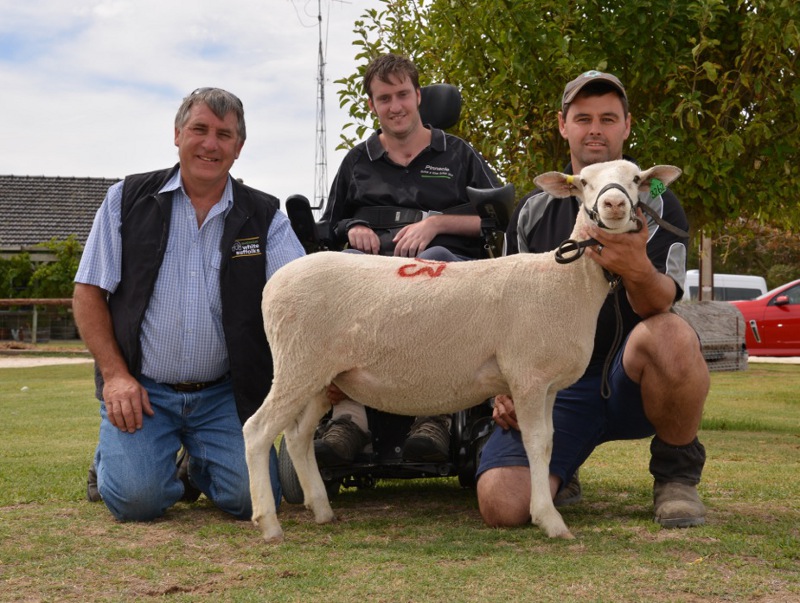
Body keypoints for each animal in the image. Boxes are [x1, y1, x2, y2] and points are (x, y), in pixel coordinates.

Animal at [242, 159, 680, 544]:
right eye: (584, 182)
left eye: (636, 178)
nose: (614, 204)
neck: (565, 279)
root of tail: (274, 282)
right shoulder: (527, 375)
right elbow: (536, 443)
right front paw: (549, 520)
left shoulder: (548, 384)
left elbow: (550, 443)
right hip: (297, 364)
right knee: (258, 430)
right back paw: (269, 524)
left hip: (324, 376)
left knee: (297, 436)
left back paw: (321, 509)